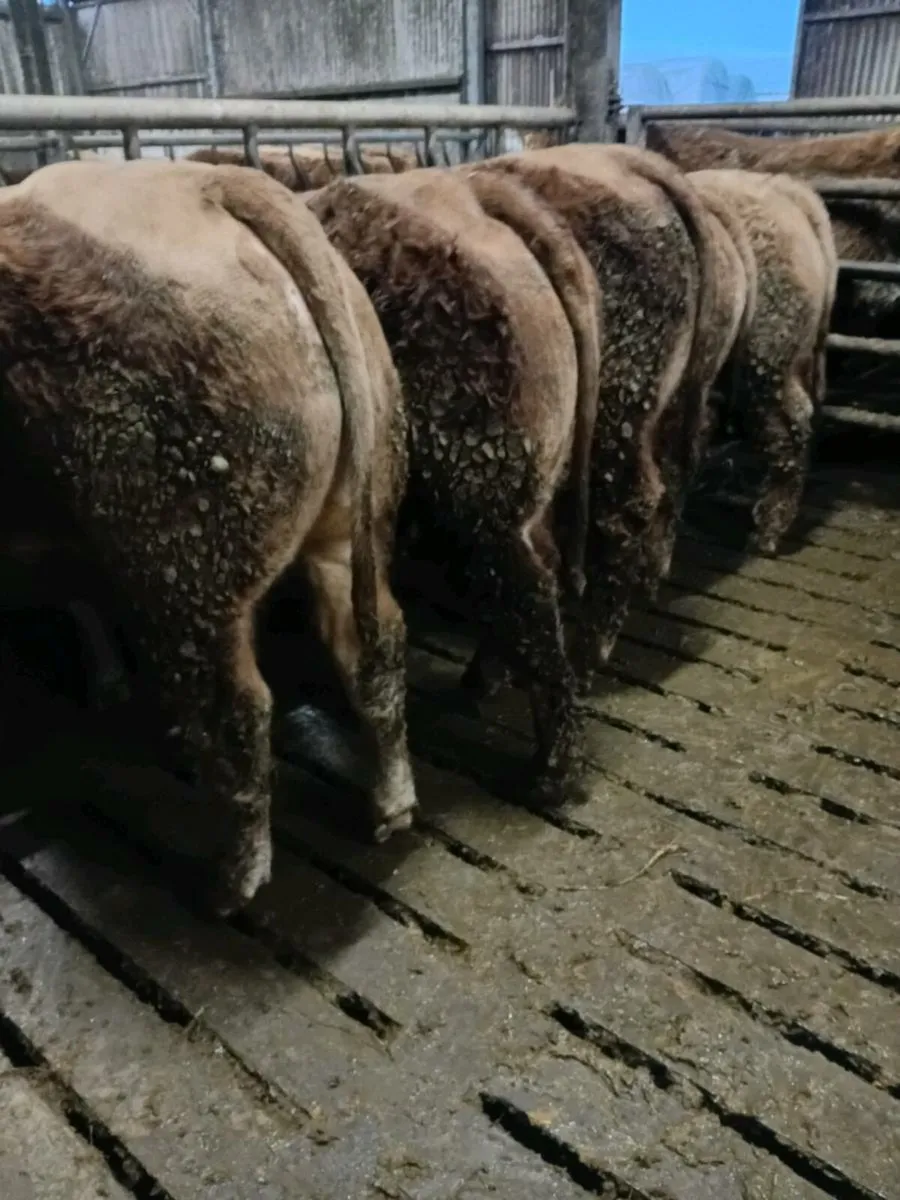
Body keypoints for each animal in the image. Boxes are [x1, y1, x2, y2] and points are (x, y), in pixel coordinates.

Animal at [0, 157, 416, 913]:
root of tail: (214, 185)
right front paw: (106, 680)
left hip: (184, 561)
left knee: (238, 716)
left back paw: (230, 885)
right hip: (352, 515)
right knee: (376, 648)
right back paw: (391, 808)